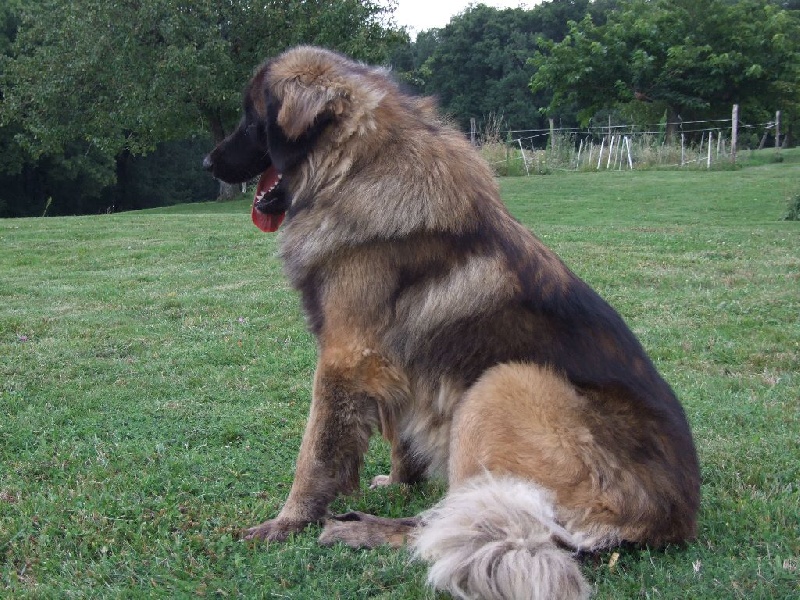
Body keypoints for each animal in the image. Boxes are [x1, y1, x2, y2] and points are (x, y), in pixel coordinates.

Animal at [205, 47, 700, 600]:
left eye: (252, 120)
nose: (207, 163)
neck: (358, 168)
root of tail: (668, 521)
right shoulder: (390, 365)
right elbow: (400, 433)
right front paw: (400, 482)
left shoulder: (346, 359)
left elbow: (315, 455)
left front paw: (287, 522)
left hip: (503, 384)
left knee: (458, 526)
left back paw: (361, 529)